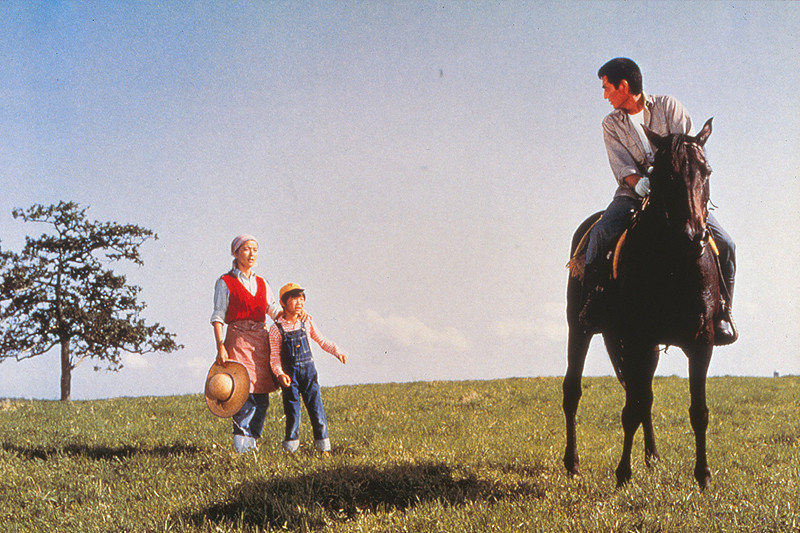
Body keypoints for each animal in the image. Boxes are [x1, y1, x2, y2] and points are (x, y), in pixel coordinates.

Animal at [564, 117, 720, 486]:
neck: (675, 263)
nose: (694, 236)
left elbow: (698, 411)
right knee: (573, 391)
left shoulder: (701, 342)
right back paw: (572, 463)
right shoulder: (638, 339)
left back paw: (652, 457)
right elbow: (631, 408)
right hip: (580, 329)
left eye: (706, 171)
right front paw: (623, 473)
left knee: (643, 397)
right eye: (663, 175)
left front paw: (703, 476)